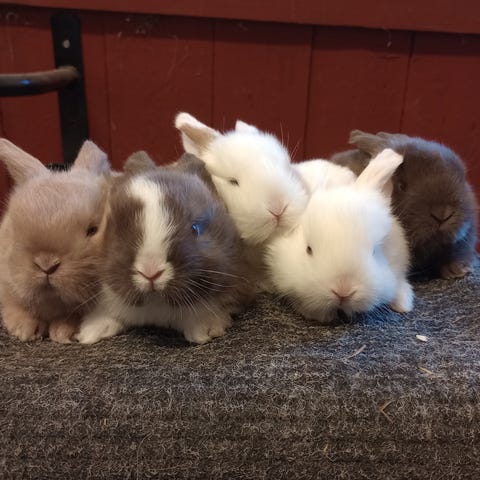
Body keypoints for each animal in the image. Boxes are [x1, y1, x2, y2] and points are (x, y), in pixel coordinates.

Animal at [0, 138, 111, 343]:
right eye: (15, 228)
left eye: (92, 230)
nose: (46, 264)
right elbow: (16, 307)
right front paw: (25, 330)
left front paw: (63, 331)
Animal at [76, 151, 253, 345]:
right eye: (117, 227)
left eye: (195, 228)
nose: (150, 272)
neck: (157, 305)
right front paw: (90, 333)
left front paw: (206, 330)